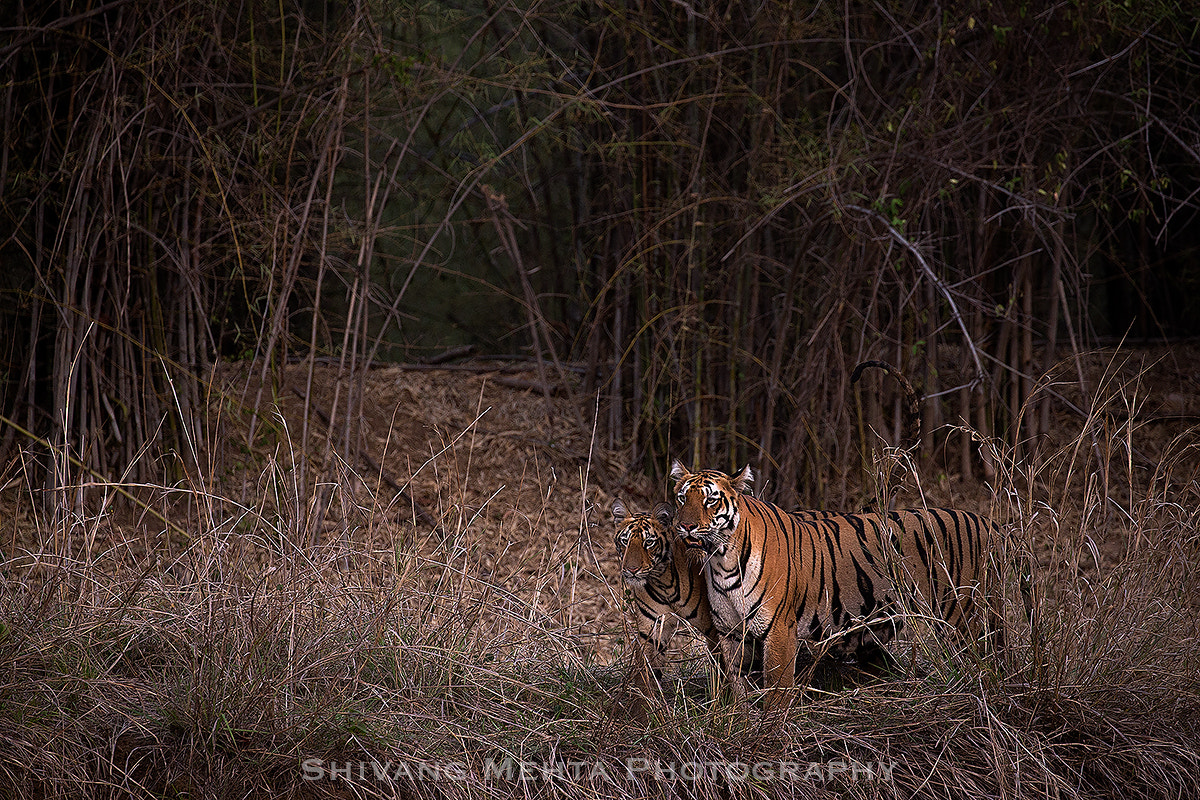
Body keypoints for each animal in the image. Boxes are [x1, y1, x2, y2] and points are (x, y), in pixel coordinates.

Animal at [672, 462, 998, 714]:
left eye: (711, 501)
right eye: (682, 498)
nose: (685, 526)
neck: (721, 559)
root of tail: (987, 522)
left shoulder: (778, 629)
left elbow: (777, 689)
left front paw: (770, 732)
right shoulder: (731, 632)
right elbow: (737, 687)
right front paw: (742, 722)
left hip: (963, 617)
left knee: (985, 661)